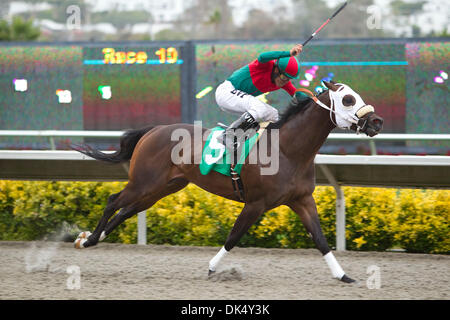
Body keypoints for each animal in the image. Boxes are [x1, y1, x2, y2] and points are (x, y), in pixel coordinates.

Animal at [74, 81, 384, 284]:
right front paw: (213, 268)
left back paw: (95, 238)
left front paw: (343, 275)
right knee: (113, 201)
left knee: (127, 211)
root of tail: (153, 130)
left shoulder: (302, 200)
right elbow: (234, 236)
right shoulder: (256, 203)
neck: (287, 150)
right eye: (348, 100)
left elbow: (320, 240)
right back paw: (88, 239)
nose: (376, 121)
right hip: (143, 182)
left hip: (160, 188)